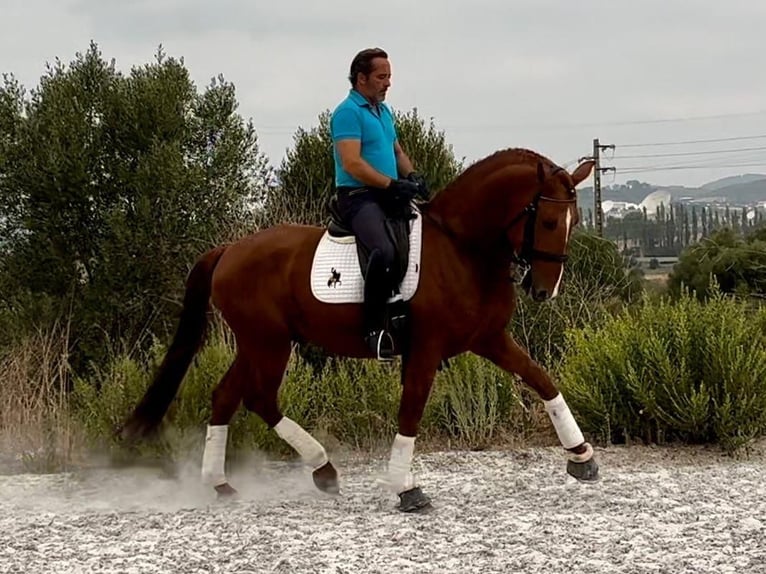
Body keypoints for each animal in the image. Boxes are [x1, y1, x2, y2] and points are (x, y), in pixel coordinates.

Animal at [118, 147, 600, 512]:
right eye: (550, 222)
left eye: (575, 222)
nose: (544, 290)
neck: (463, 249)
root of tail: (229, 250)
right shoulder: (426, 348)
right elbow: (411, 409)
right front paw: (405, 488)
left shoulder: (488, 338)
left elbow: (541, 379)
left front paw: (581, 457)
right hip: (269, 342)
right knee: (258, 398)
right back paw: (322, 468)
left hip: (258, 343)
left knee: (225, 396)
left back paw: (221, 484)